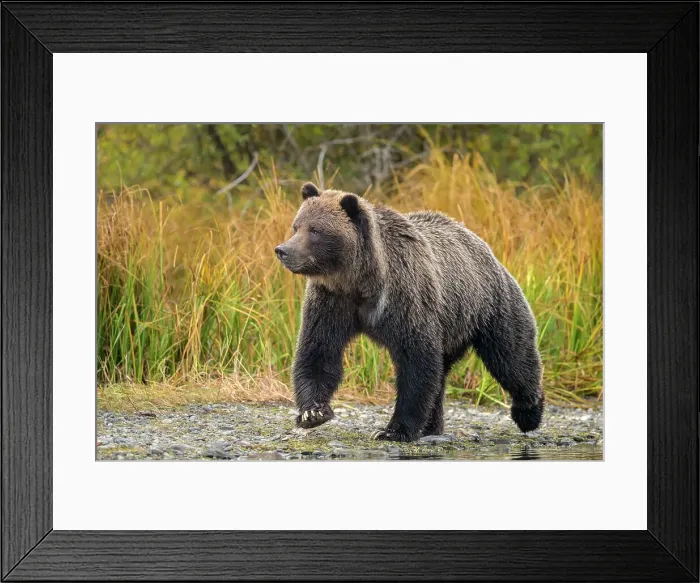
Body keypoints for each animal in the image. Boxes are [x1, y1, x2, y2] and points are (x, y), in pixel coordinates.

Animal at [274, 181, 544, 442]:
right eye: (296, 226)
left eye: (315, 230)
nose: (282, 250)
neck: (361, 281)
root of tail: (483, 245)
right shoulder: (331, 301)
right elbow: (319, 350)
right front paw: (312, 413)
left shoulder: (406, 298)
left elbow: (416, 362)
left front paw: (394, 430)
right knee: (443, 374)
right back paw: (432, 426)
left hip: (489, 305)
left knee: (511, 357)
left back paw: (529, 412)